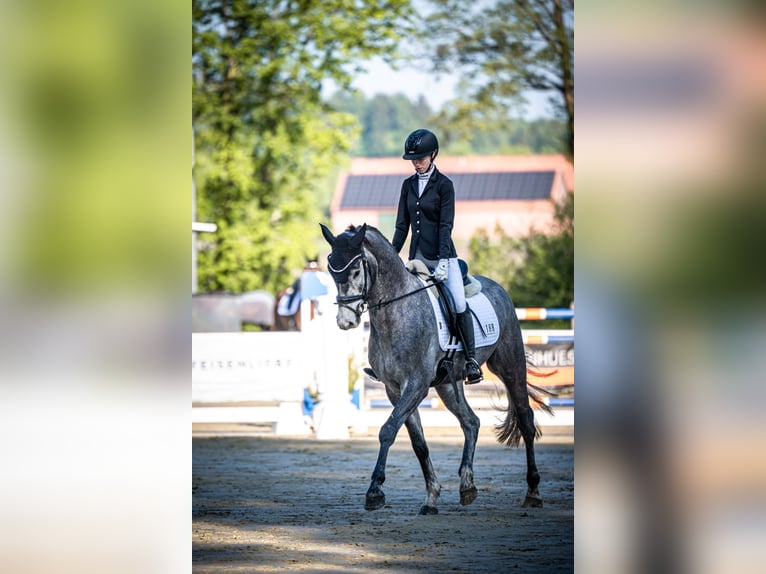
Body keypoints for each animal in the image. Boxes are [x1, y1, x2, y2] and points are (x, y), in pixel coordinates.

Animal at [320, 223, 554, 514]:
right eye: (331, 271)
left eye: (354, 270)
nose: (346, 321)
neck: (396, 310)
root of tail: (498, 288)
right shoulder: (394, 389)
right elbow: (418, 442)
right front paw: (431, 497)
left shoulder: (416, 385)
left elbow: (387, 430)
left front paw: (375, 491)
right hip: (447, 386)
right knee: (471, 422)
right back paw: (467, 487)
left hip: (511, 368)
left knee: (525, 422)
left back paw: (533, 492)